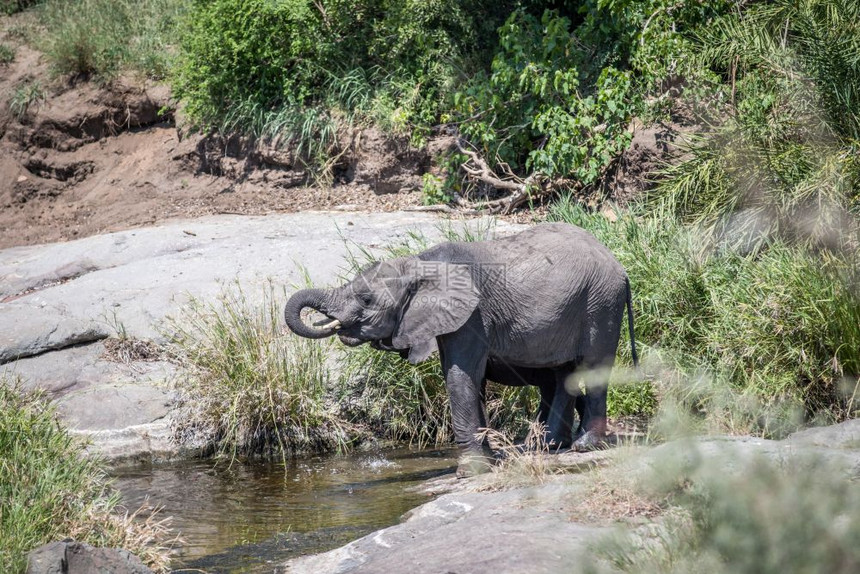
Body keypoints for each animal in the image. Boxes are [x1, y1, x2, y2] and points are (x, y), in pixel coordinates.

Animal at [286, 223, 636, 480]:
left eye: (366, 299)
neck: (420, 262)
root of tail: (619, 266)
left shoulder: (472, 315)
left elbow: (459, 376)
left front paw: (469, 472)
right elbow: (470, 379)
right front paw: (490, 459)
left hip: (600, 302)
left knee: (592, 366)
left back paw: (582, 447)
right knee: (563, 372)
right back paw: (547, 445)